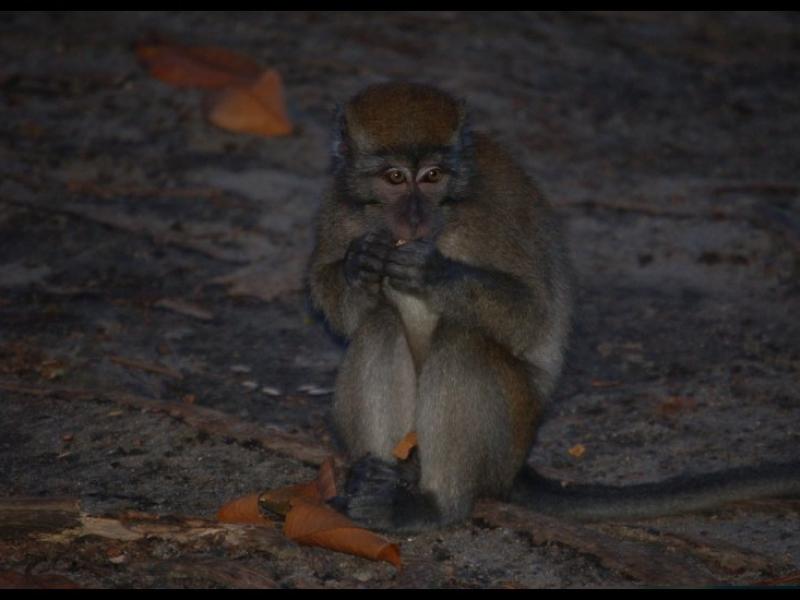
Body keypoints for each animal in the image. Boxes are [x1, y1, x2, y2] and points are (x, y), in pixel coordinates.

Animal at [308, 81, 800, 533]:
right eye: (394, 178)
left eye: (432, 176)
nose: (414, 217)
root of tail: (516, 467)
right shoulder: (338, 207)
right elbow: (342, 311)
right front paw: (360, 264)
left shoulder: (489, 216)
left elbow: (533, 314)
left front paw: (434, 274)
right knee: (379, 323)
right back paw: (378, 476)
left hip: (512, 430)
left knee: (465, 341)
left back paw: (435, 505)